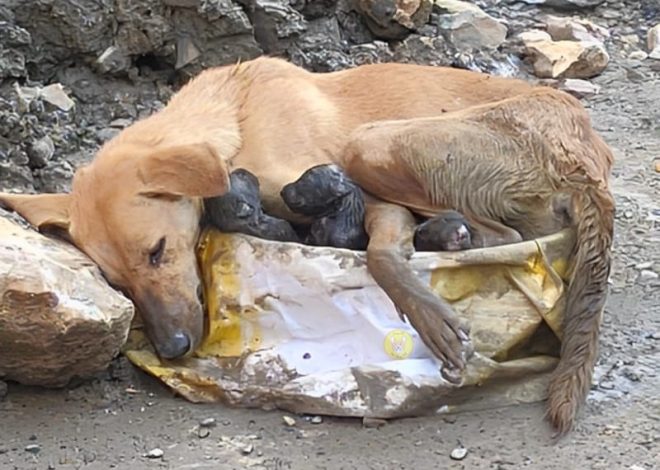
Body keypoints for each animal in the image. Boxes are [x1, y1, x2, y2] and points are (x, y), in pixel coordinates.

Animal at [2, 57, 616, 436]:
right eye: (118, 283)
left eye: (157, 251)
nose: (173, 349)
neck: (236, 120)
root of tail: (584, 148)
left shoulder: (365, 198)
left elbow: (380, 255)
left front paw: (427, 314)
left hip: (373, 143)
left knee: (505, 238)